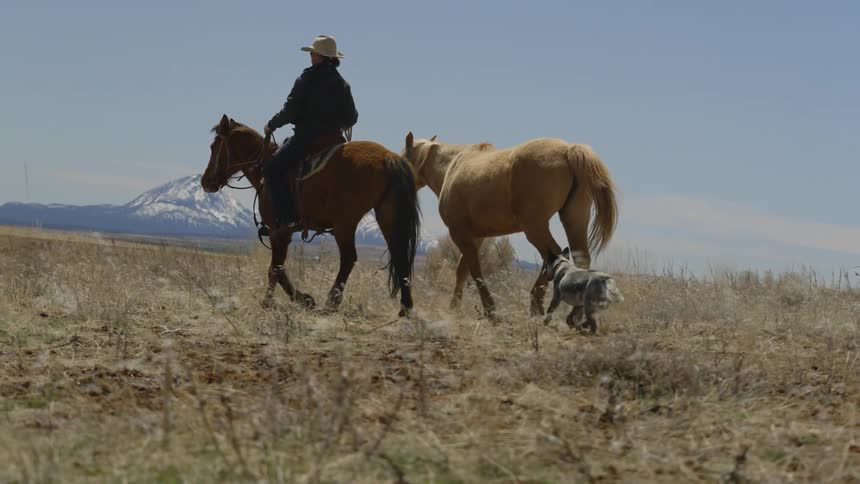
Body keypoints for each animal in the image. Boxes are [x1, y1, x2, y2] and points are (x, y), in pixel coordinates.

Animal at [201, 115, 421, 316]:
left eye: (214, 146)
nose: (206, 181)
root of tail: (388, 158)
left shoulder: (277, 230)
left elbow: (275, 268)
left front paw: (279, 301)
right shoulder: (284, 233)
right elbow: (278, 268)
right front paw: (299, 299)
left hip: (345, 223)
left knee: (349, 258)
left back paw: (331, 302)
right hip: (387, 215)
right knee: (399, 254)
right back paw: (405, 308)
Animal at [402, 132, 617, 318]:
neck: (451, 167)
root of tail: (568, 150)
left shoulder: (460, 233)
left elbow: (475, 271)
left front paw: (489, 310)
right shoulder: (476, 237)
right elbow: (462, 270)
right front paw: (455, 307)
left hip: (535, 227)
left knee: (554, 255)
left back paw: (536, 305)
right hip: (573, 219)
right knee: (581, 258)